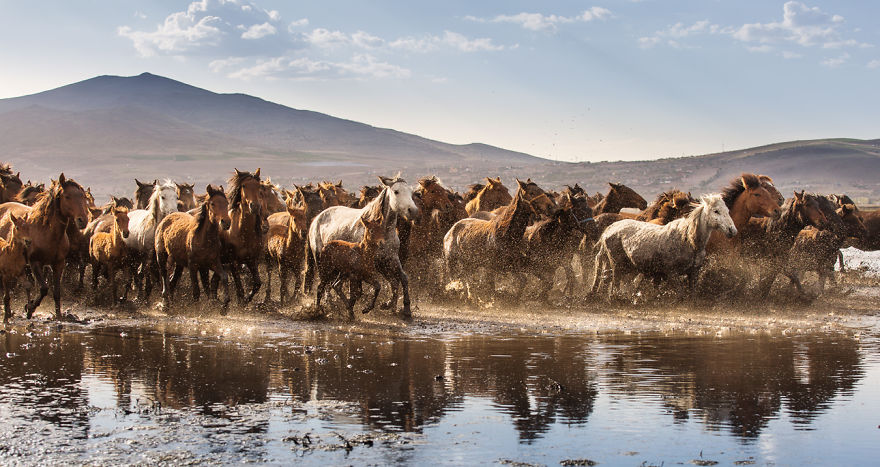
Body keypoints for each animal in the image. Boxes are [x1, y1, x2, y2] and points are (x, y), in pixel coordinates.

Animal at [0, 174, 89, 319]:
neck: (45, 231)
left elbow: (56, 291)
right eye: (67, 196)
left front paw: (58, 315)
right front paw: (30, 308)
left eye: (83, 196)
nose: (83, 220)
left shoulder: (58, 264)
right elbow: (43, 288)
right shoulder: (35, 263)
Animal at [220, 168, 267, 304]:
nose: (255, 206)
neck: (243, 232)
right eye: (244, 185)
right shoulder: (233, 262)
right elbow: (239, 288)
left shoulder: (252, 260)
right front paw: (241, 301)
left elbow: (257, 283)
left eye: (259, 186)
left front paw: (247, 299)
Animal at [306, 175, 419, 317]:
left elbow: (401, 279)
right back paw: (328, 306)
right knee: (324, 284)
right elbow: (360, 290)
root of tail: (316, 219)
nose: (413, 211)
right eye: (396, 191)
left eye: (411, 192)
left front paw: (401, 307)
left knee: (332, 284)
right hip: (321, 262)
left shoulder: (389, 259)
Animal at [589, 194, 736, 299]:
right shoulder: (672, 274)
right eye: (716, 211)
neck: (689, 240)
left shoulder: (693, 273)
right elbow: (680, 296)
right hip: (617, 266)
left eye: (727, 210)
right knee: (612, 285)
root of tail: (609, 229)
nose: (732, 230)